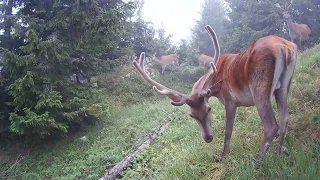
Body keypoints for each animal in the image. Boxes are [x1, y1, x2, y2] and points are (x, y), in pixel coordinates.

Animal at [132, 24, 298, 161]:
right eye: (192, 115)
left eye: (209, 109)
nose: (208, 138)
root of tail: (284, 47)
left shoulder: (230, 100)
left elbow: (228, 130)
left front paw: (223, 156)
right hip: (283, 87)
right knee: (284, 118)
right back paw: (278, 153)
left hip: (259, 87)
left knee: (271, 126)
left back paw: (257, 162)